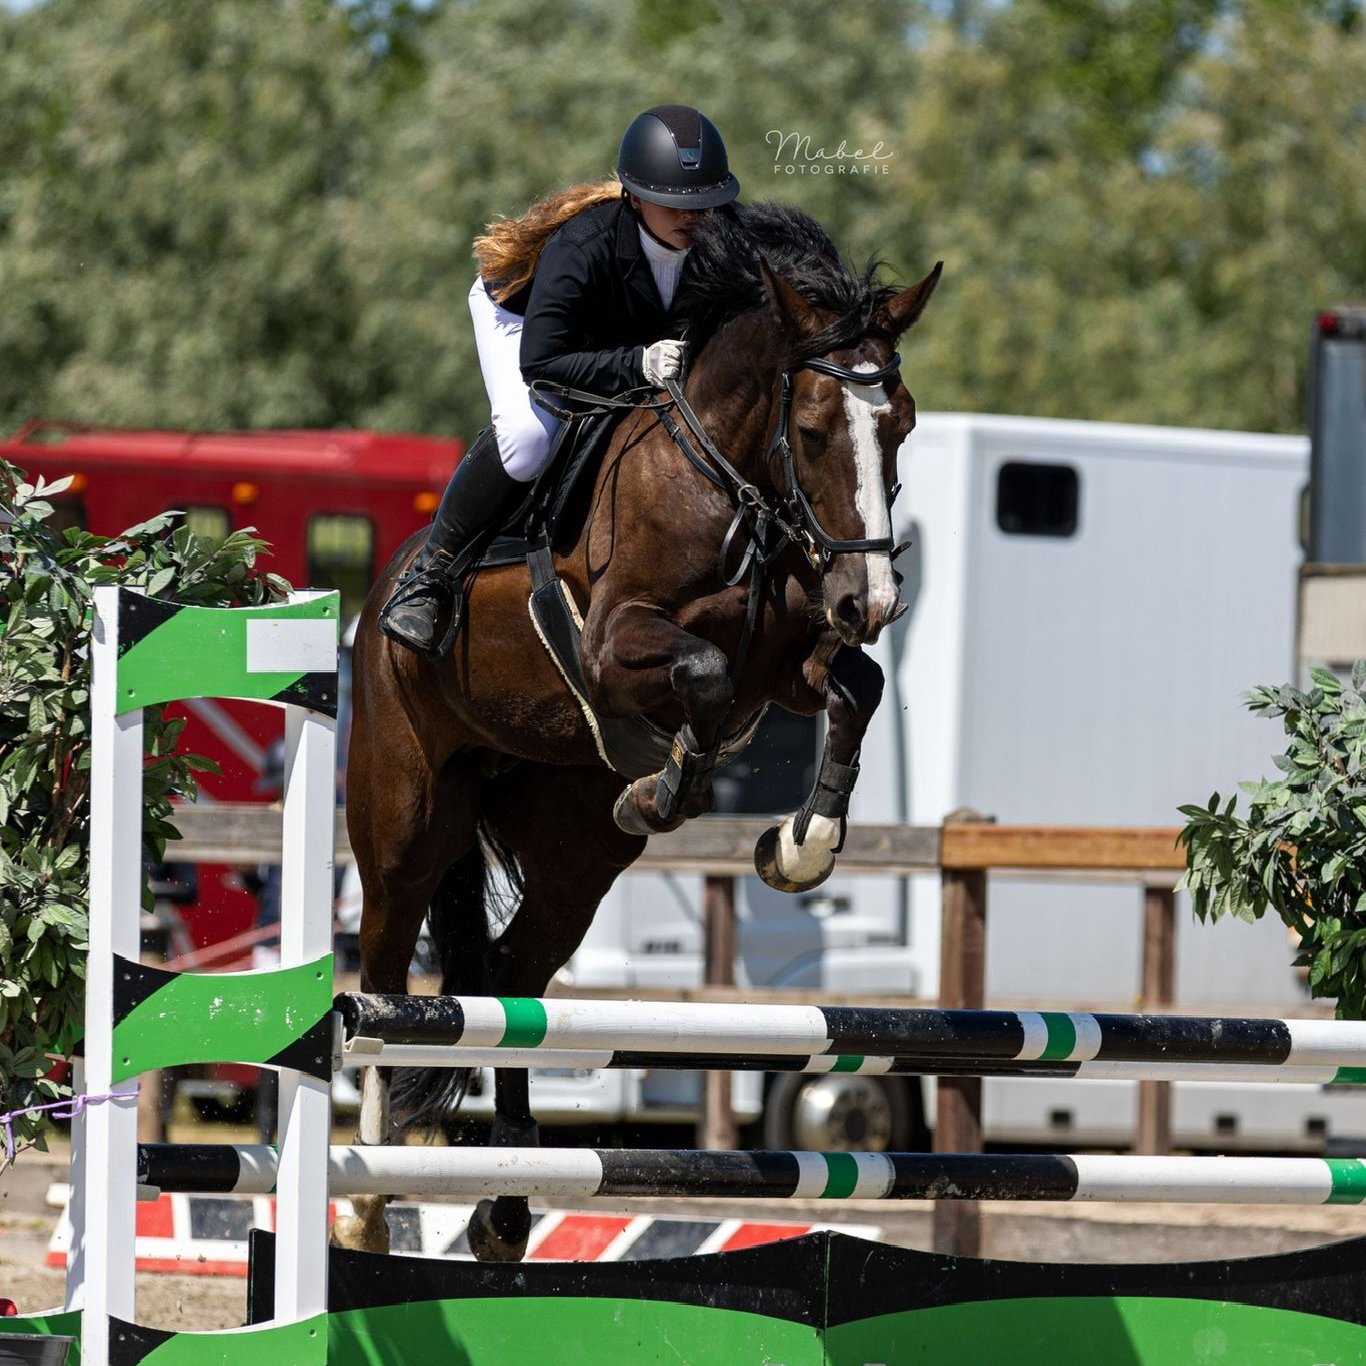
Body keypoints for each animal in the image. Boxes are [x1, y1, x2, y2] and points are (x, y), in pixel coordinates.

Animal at [337, 202, 941, 1262]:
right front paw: (668, 786)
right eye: (814, 428)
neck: (730, 481)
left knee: (513, 978)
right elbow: (700, 675)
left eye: (901, 426)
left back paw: (507, 1203)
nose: (870, 601)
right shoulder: (617, 642)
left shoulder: (789, 662)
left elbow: (855, 688)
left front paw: (800, 844)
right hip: (406, 823)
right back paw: (370, 1204)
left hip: (570, 854)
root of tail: (373, 608)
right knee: (385, 974)